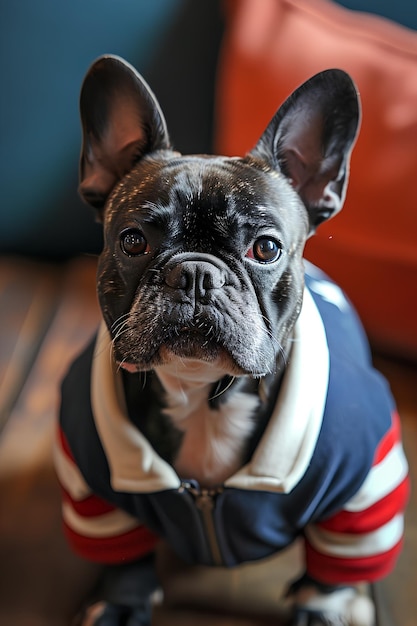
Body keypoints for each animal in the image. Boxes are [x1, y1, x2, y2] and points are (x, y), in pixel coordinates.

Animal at [53, 56, 408, 620]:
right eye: (133, 241)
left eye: (265, 248)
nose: (196, 274)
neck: (203, 396)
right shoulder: (91, 485)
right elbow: (123, 553)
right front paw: (121, 602)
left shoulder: (364, 493)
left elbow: (335, 568)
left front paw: (321, 609)